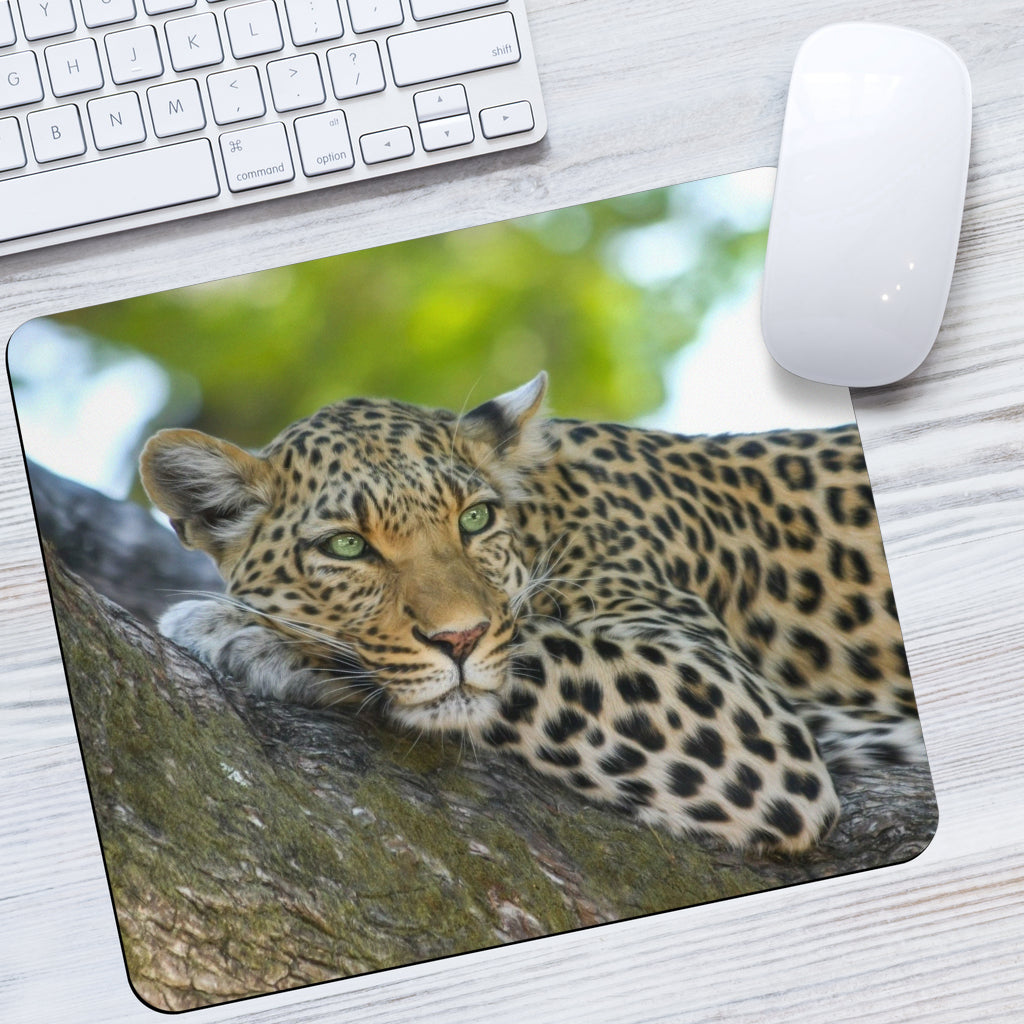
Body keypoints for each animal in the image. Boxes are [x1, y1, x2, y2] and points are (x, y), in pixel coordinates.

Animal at [139, 372, 924, 854]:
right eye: (347, 546)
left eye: (475, 518)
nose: (460, 636)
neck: (545, 514)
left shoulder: (736, 711)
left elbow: (527, 653)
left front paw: (239, 631)